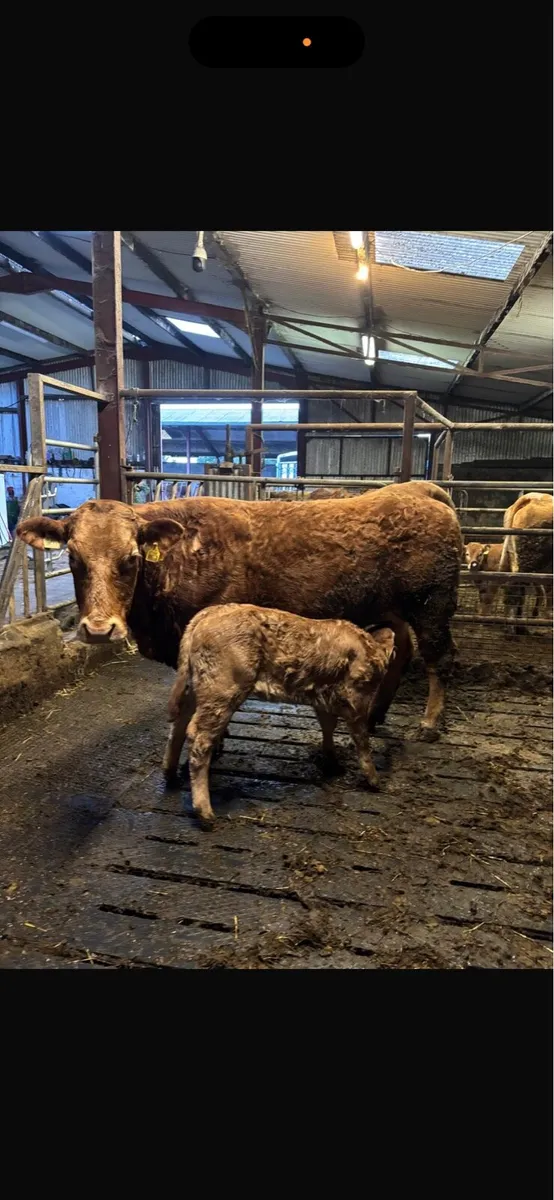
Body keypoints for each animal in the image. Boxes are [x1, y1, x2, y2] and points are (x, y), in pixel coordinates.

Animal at [16, 480, 462, 740]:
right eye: (73, 558)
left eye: (130, 559)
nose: (98, 629)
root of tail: (417, 490)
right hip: (397, 609)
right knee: (402, 652)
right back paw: (377, 715)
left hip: (432, 605)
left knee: (439, 659)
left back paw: (429, 722)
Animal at [165, 605, 397, 827]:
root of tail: (209, 612)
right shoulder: (357, 700)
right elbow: (362, 740)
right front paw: (374, 780)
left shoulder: (324, 698)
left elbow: (328, 726)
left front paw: (332, 762)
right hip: (221, 690)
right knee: (199, 738)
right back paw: (205, 813)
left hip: (196, 687)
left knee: (178, 724)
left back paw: (169, 774)